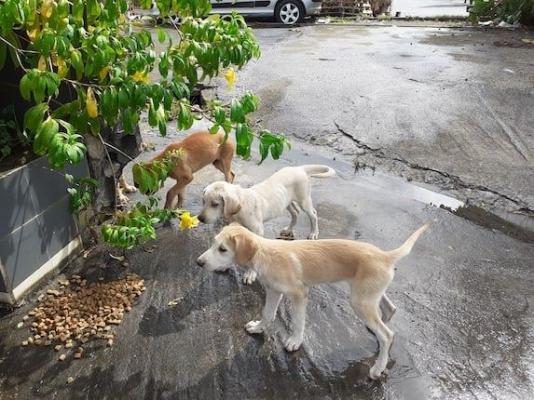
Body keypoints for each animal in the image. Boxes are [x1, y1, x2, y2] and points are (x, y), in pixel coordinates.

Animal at [197, 223, 432, 380]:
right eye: (213, 244)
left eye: (223, 249)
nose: (199, 262)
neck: (265, 254)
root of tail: (385, 255)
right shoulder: (273, 291)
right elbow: (267, 313)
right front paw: (258, 327)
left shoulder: (299, 294)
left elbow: (299, 322)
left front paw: (294, 342)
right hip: (368, 295)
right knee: (390, 310)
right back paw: (378, 334)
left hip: (360, 301)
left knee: (388, 335)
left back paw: (377, 367)